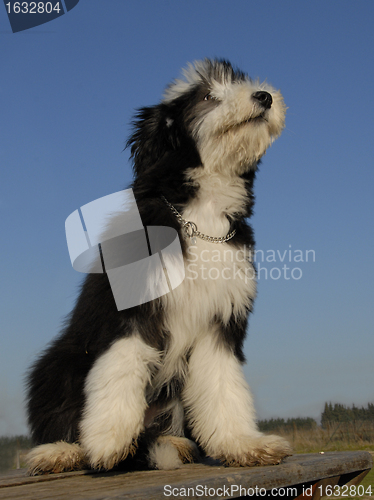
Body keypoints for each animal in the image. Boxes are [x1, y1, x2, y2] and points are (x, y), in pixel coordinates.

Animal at [26, 57, 292, 472]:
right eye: (206, 96)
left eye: (241, 81)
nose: (264, 96)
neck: (201, 214)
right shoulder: (130, 308)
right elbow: (121, 365)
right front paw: (108, 438)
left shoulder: (220, 318)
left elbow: (223, 384)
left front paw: (241, 443)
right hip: (57, 363)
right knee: (59, 411)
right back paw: (61, 451)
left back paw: (172, 443)